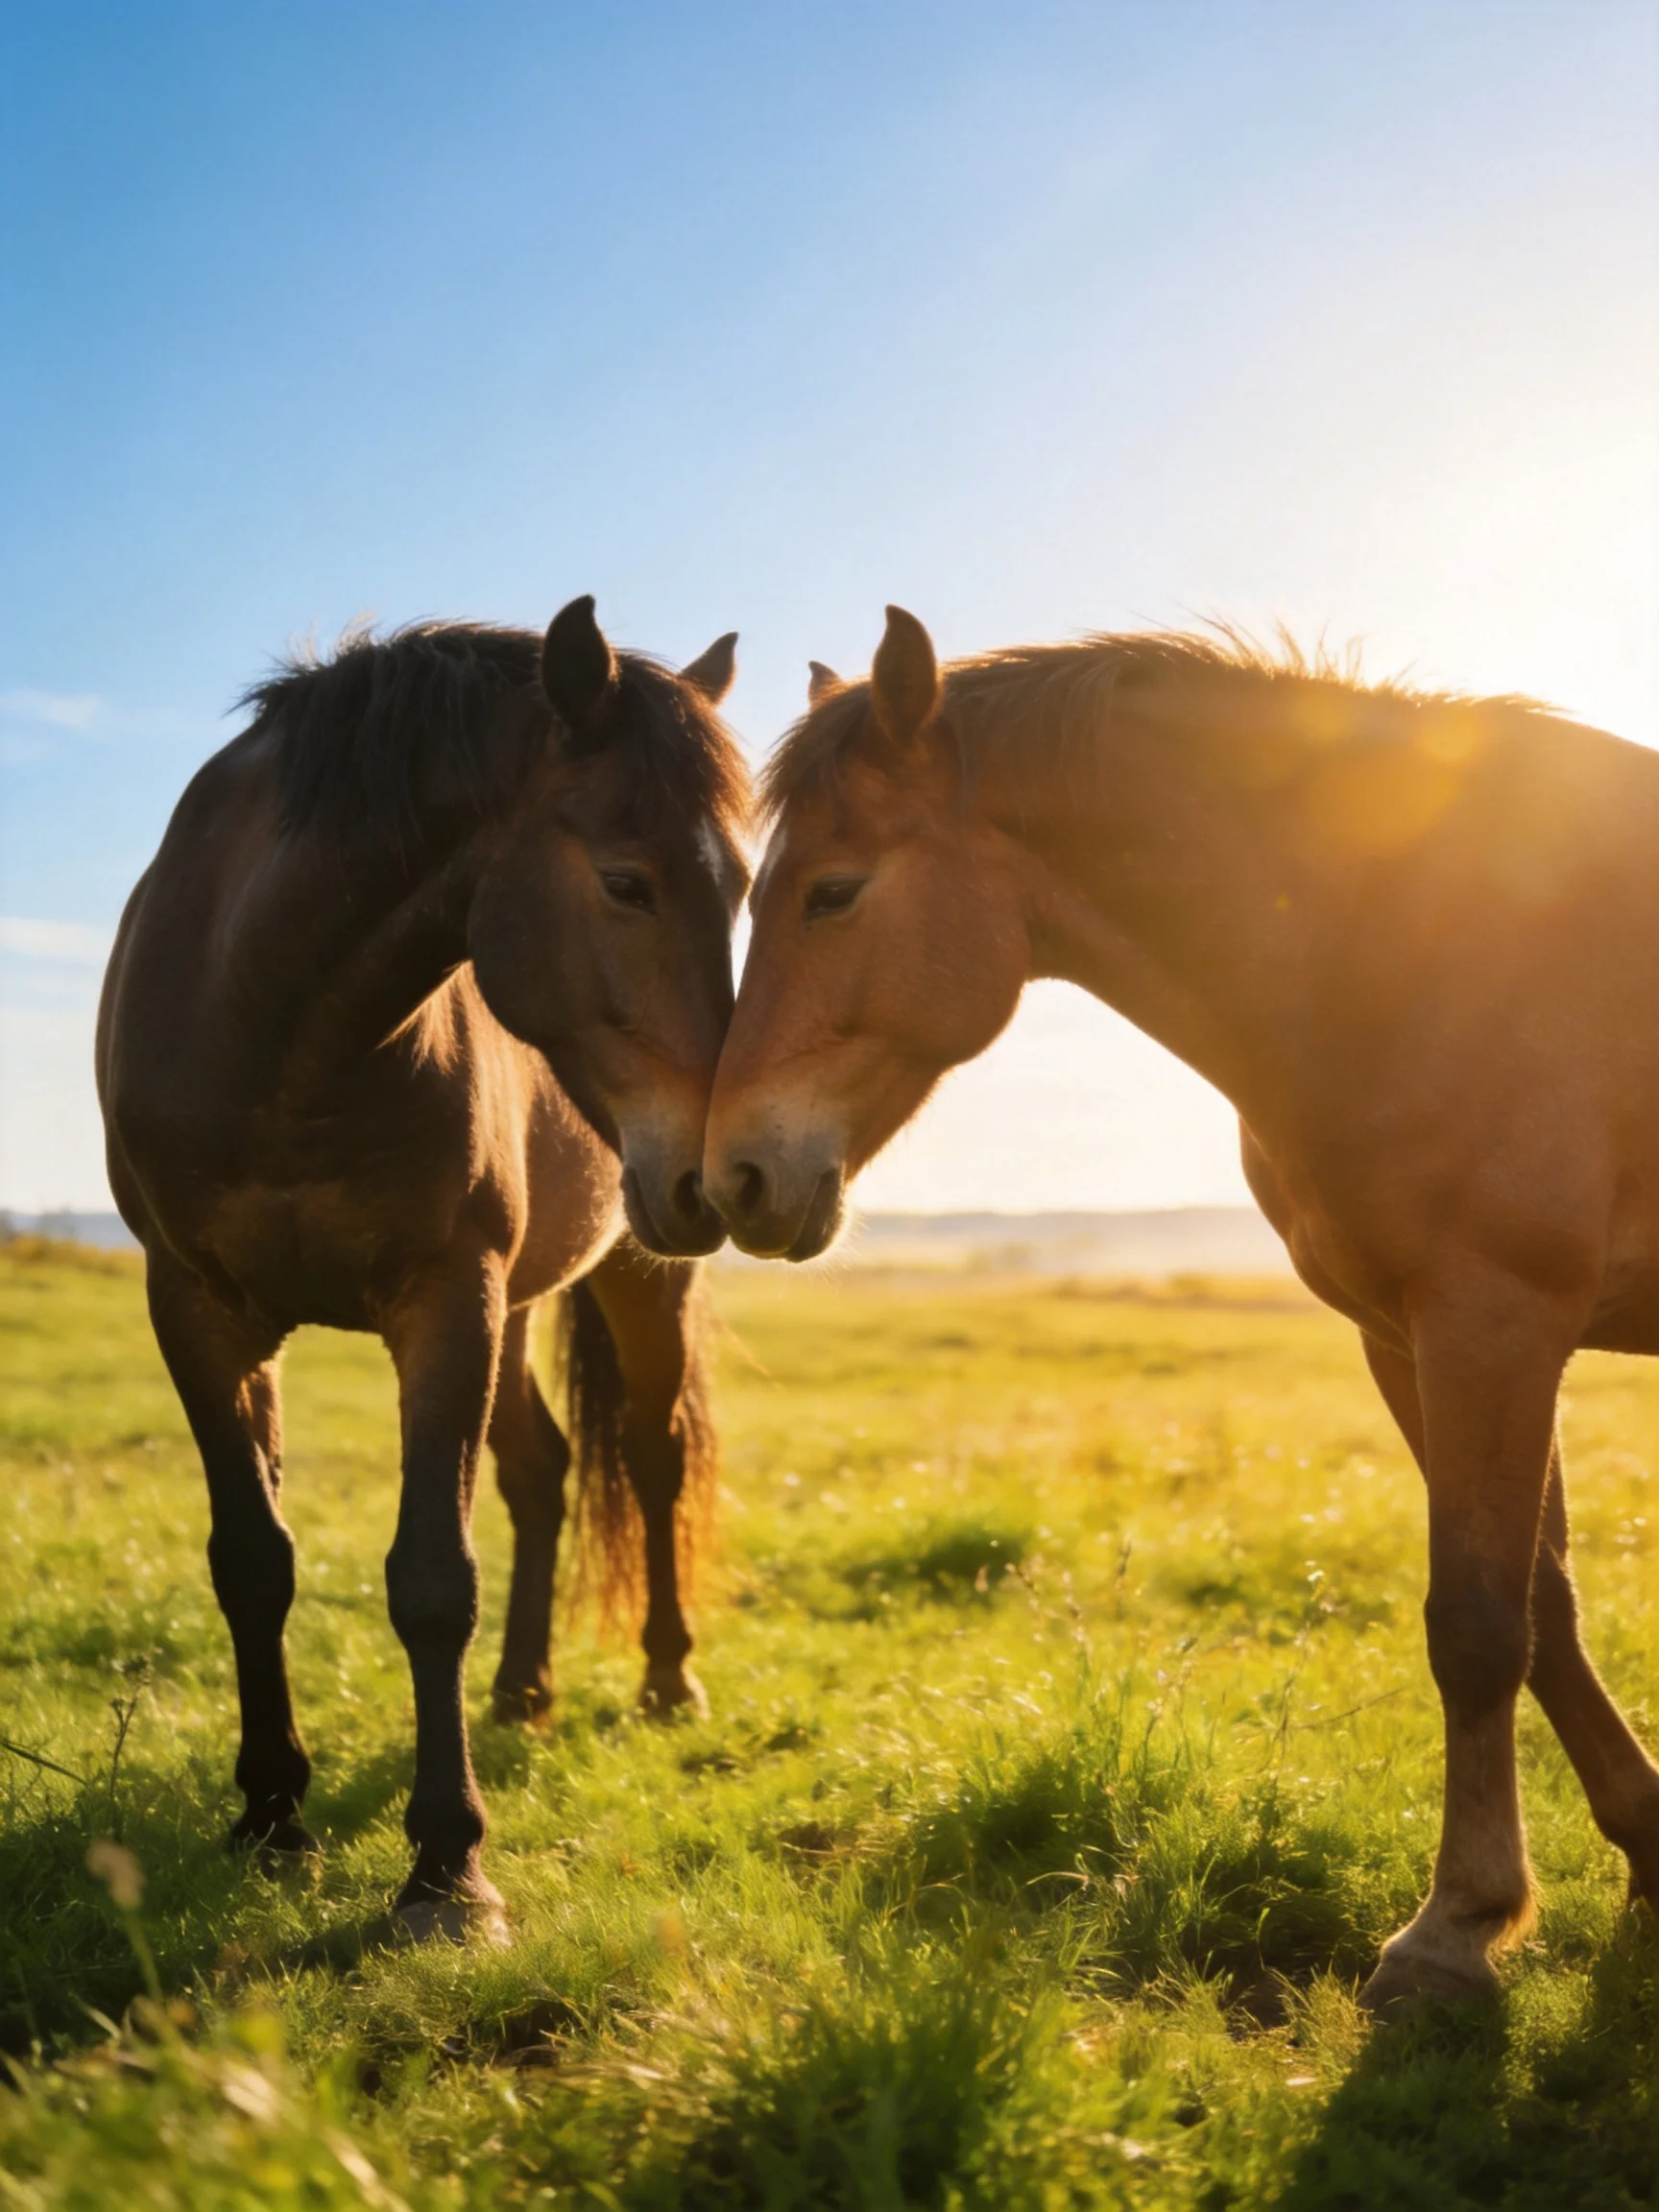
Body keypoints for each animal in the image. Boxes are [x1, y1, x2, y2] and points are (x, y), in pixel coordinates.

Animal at [97, 597, 751, 1940]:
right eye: (626, 882)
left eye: (749, 888)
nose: (718, 1169)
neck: (279, 1037)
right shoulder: (198, 1313)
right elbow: (253, 1561)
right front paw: (271, 1817)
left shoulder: (448, 1305)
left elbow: (432, 1580)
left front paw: (449, 1870)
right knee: (543, 1470)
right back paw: (521, 1692)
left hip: (632, 1275)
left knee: (649, 1459)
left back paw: (667, 1682)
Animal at [705, 604, 1659, 2011]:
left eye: (834, 890)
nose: (733, 1178)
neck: (1407, 940)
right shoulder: (1411, 1338)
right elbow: (1540, 1610)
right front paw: (1641, 1848)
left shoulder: (1495, 1322)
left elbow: (1481, 1625)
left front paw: (1453, 1930)